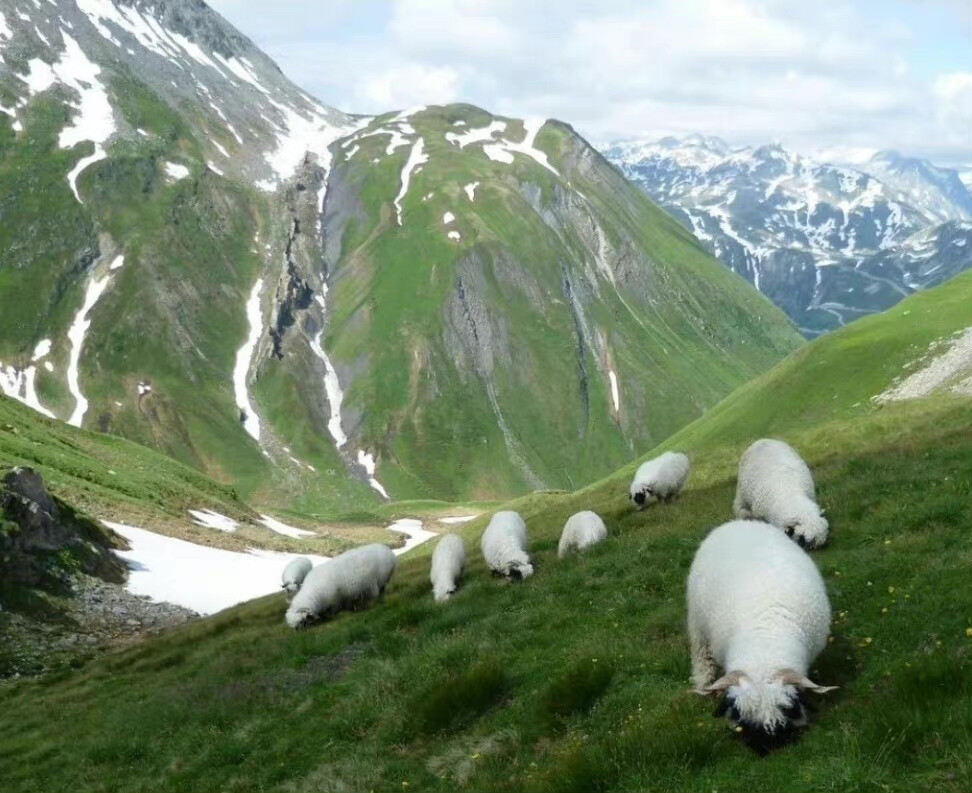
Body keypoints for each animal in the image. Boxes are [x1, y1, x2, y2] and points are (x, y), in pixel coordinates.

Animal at [684, 516, 836, 752]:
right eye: (739, 714)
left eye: (788, 710)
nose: (766, 747)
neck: (765, 646)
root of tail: (739, 523)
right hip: (698, 623)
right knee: (702, 657)